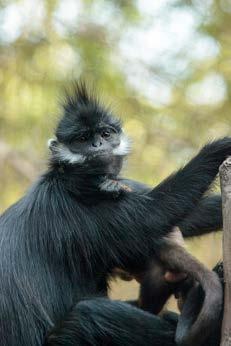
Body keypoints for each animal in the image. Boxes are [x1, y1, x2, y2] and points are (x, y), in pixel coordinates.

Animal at [0, 82, 230, 344]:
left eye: (105, 134)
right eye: (82, 139)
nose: (97, 145)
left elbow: (192, 215)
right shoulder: (71, 206)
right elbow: (151, 216)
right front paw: (220, 147)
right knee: (88, 314)